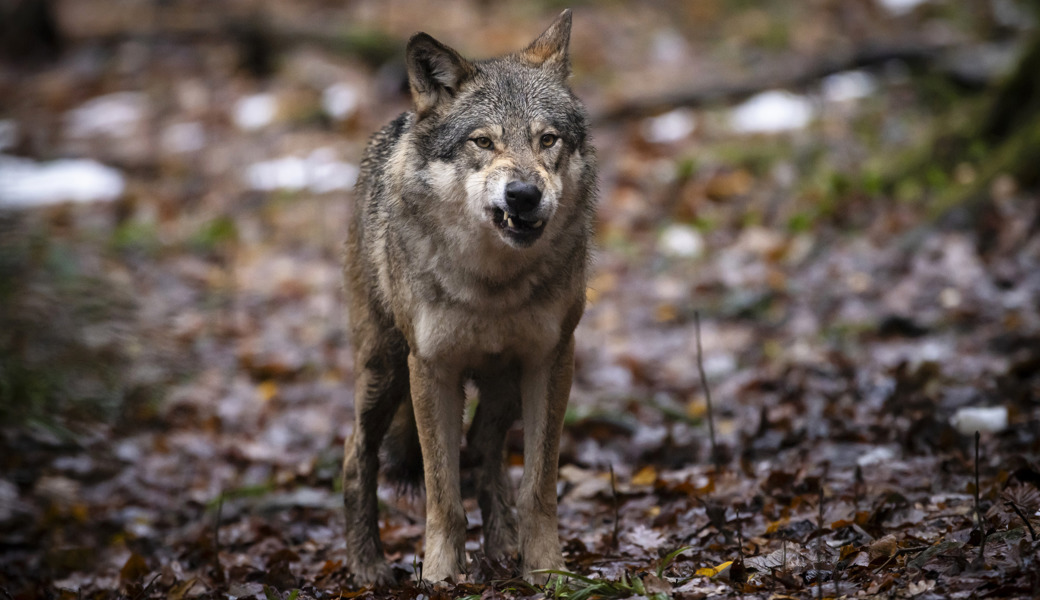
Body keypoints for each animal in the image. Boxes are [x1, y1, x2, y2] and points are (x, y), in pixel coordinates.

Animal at [341, 9, 599, 586]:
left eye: (547, 139)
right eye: (483, 142)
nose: (523, 195)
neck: (492, 284)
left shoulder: (552, 359)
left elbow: (537, 489)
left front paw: (546, 570)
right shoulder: (431, 368)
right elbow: (443, 496)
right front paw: (441, 576)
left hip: (503, 384)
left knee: (484, 450)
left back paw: (502, 548)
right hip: (384, 369)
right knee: (356, 453)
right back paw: (367, 565)